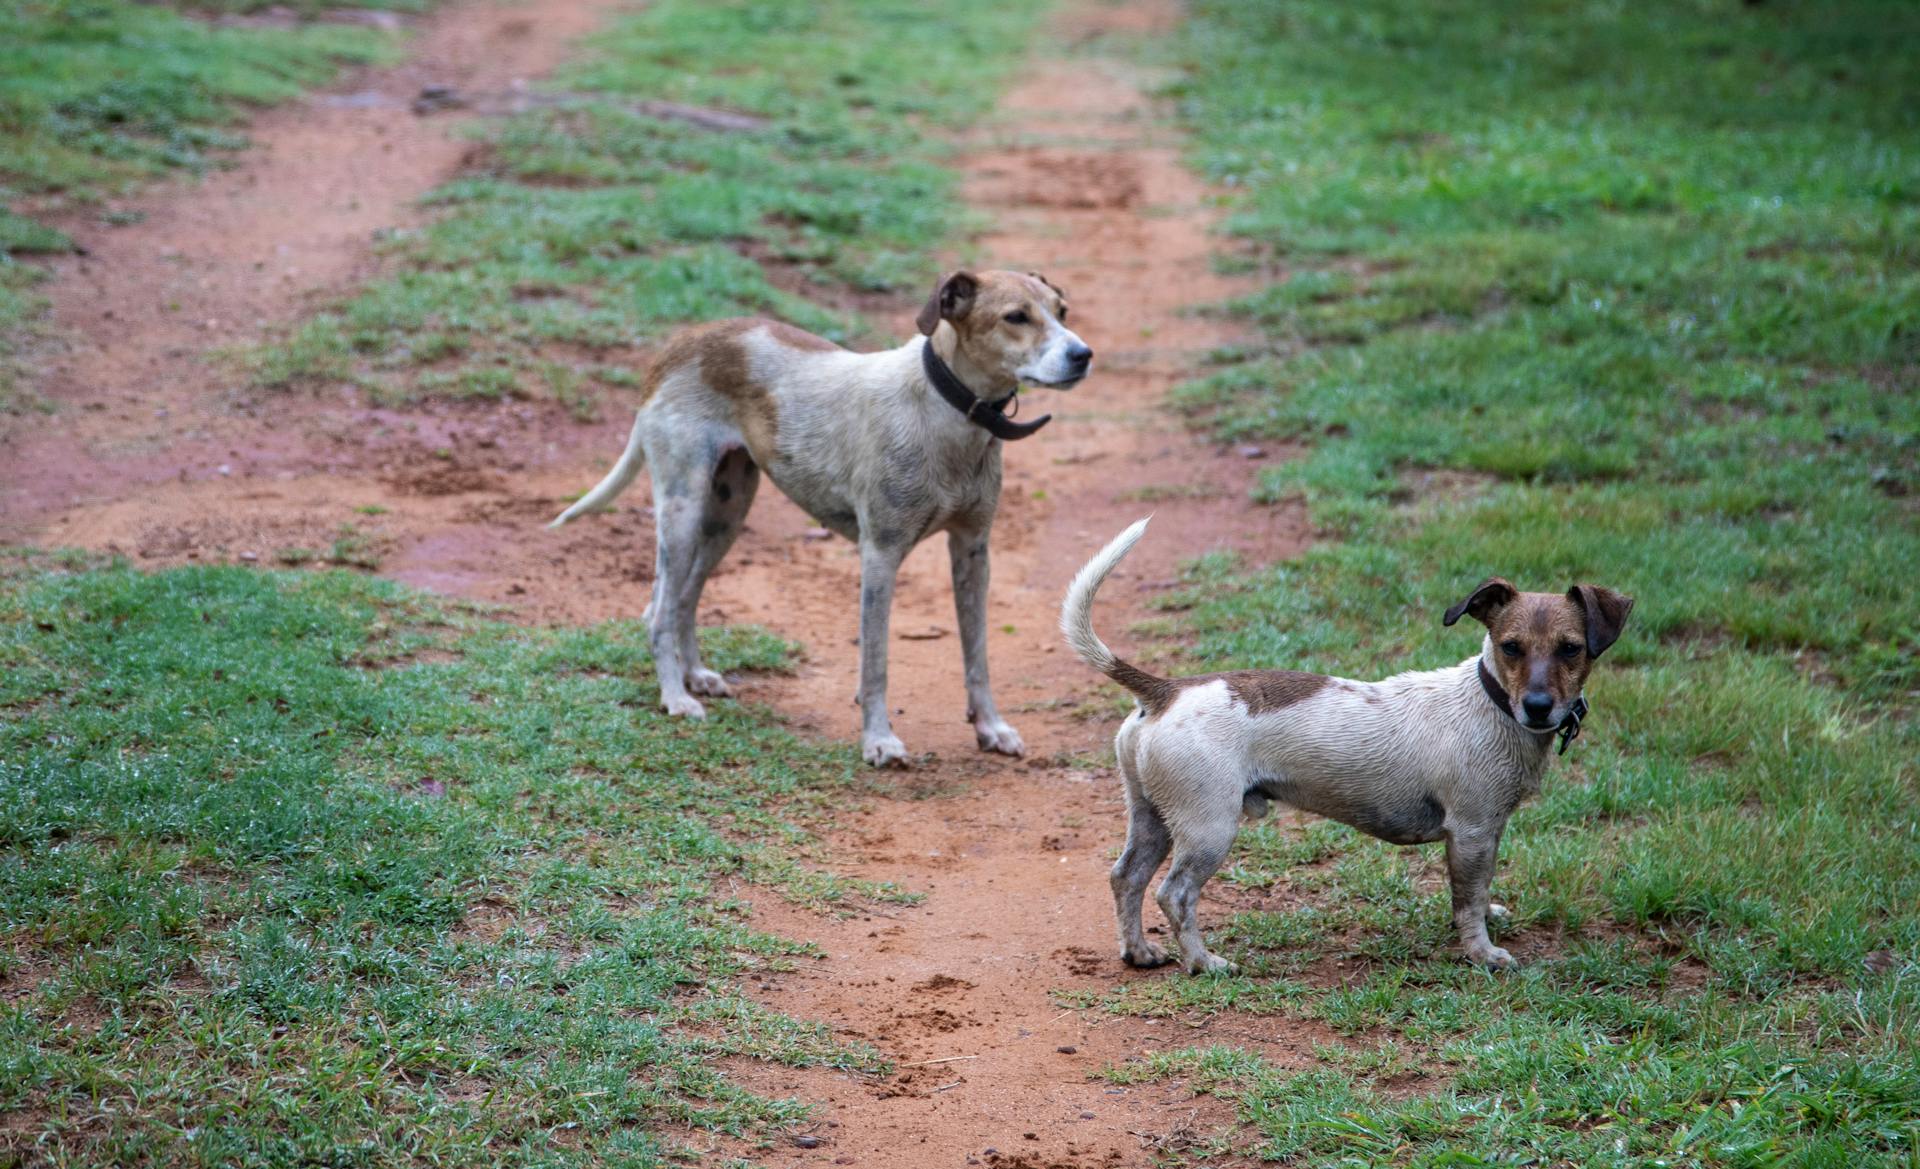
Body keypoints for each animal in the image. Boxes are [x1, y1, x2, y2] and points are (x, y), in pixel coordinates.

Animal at [556, 270, 1098, 767]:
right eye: (1016, 317)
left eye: (1062, 311)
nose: (1083, 354)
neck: (946, 409)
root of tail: (679, 343)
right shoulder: (879, 555)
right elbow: (875, 664)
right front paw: (878, 740)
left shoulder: (973, 551)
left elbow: (977, 655)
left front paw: (990, 727)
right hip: (683, 510)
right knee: (659, 613)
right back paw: (675, 696)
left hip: (725, 514)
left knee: (680, 599)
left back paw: (696, 676)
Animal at [1059, 518, 1628, 967]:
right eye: (1510, 648)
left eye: (1571, 649)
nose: (1538, 706)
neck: (1490, 703)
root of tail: (1165, 690)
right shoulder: (1470, 831)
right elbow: (1466, 900)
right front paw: (1482, 952)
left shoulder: (1487, 832)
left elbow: (1478, 888)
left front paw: (1488, 918)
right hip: (1208, 828)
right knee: (1174, 895)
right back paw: (1204, 962)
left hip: (1152, 817)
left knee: (1126, 877)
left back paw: (1138, 952)